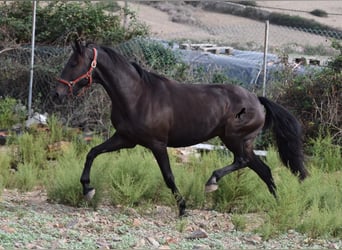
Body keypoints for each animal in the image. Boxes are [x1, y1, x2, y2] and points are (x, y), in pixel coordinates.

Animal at [55, 40, 308, 215]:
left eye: (73, 63)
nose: (58, 92)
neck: (137, 95)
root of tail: (257, 100)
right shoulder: (125, 139)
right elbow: (92, 152)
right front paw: (88, 189)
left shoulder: (157, 144)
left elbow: (168, 176)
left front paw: (183, 208)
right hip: (241, 142)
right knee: (263, 169)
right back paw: (278, 205)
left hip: (235, 139)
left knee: (244, 162)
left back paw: (212, 182)